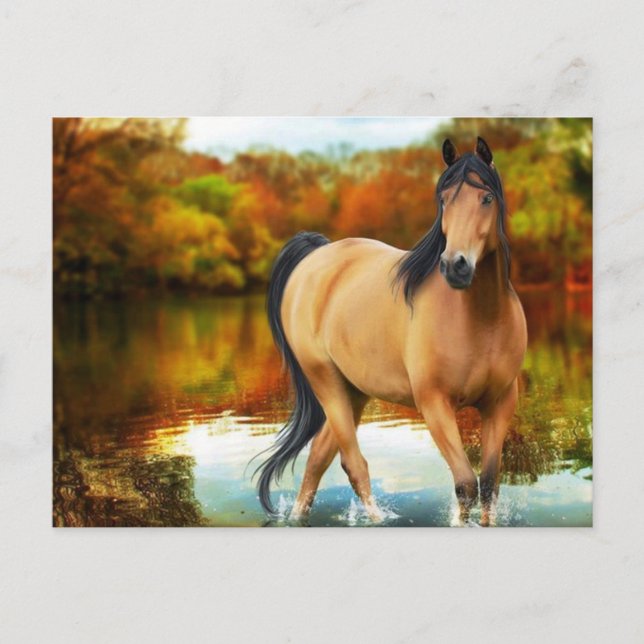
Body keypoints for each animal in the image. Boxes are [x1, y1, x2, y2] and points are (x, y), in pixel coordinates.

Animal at [254, 136, 527, 526]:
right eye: (444, 200)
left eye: (487, 198)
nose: (455, 266)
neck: (481, 319)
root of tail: (315, 257)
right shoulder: (434, 405)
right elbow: (465, 484)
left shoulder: (500, 403)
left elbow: (489, 485)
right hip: (326, 382)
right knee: (353, 465)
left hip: (353, 390)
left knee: (317, 459)